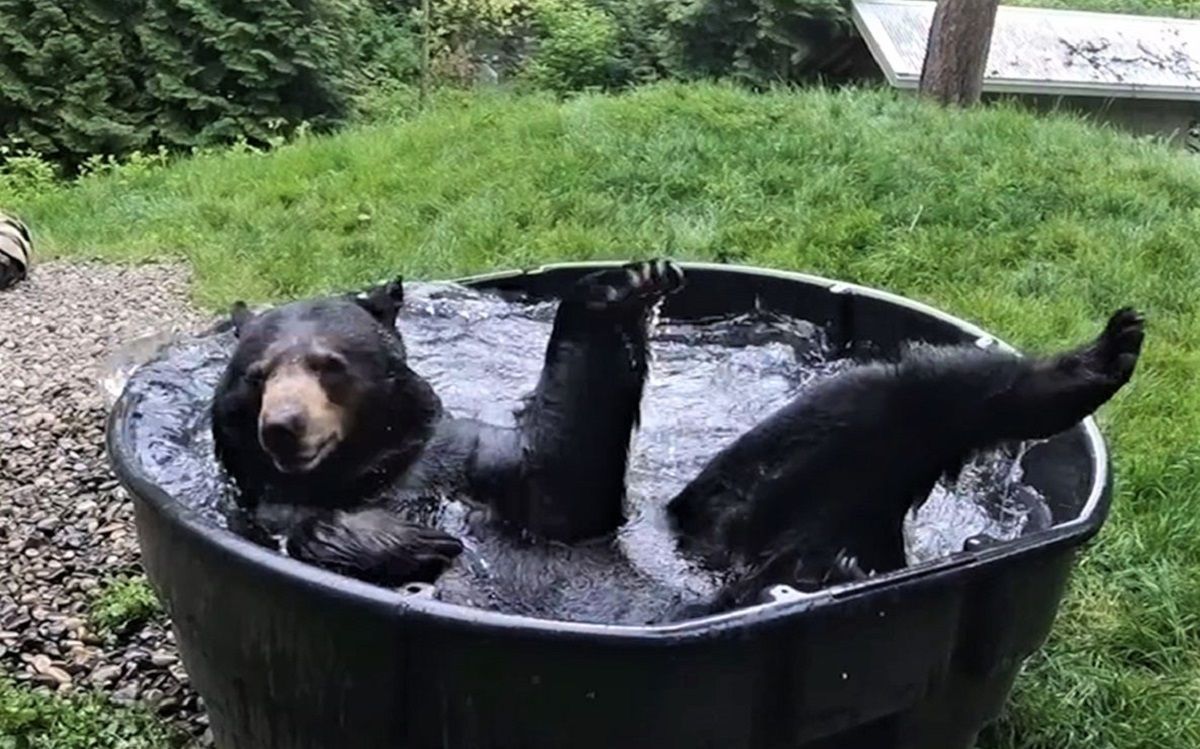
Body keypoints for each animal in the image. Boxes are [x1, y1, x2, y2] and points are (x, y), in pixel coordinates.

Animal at [212, 260, 1144, 619]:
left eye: (329, 364)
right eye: (256, 375)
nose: (284, 425)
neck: (379, 464)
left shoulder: (470, 454)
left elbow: (560, 481)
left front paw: (621, 287)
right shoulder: (276, 506)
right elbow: (305, 531)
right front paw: (411, 542)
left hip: (747, 491)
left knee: (894, 392)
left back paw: (1105, 350)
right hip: (750, 511)